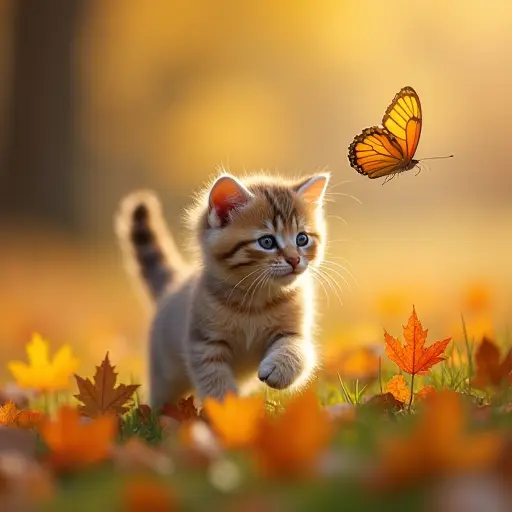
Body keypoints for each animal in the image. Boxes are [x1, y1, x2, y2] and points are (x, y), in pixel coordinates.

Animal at [115, 172, 328, 408]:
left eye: (302, 239)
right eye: (267, 242)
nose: (294, 260)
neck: (255, 300)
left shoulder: (293, 331)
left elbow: (296, 349)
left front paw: (281, 370)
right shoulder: (205, 345)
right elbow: (216, 384)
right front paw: (226, 411)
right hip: (164, 375)